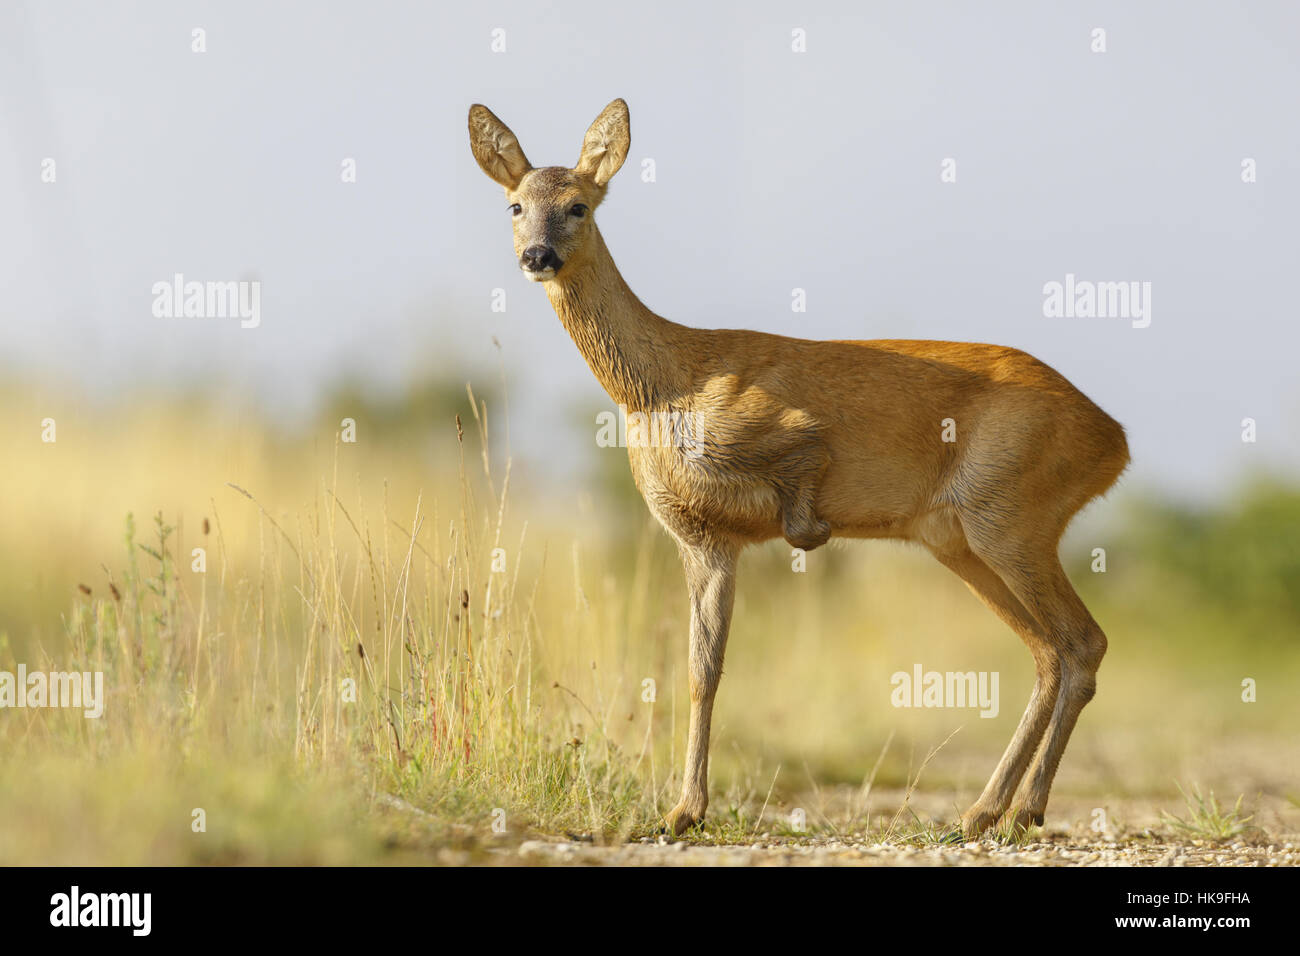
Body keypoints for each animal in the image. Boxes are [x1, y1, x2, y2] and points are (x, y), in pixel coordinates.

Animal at [467, 98, 1130, 838]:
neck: (664, 386)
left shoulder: (792, 439)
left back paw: (1008, 810)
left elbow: (804, 477)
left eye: (579, 205)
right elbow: (702, 669)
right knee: (1051, 650)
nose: (538, 256)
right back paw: (999, 810)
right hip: (958, 538)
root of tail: (1115, 439)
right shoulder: (703, 539)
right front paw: (683, 810)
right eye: (515, 205)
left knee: (1081, 641)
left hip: (1011, 518)